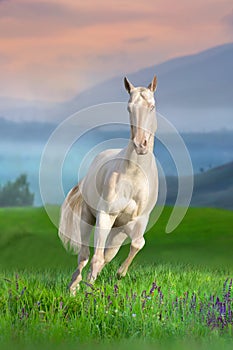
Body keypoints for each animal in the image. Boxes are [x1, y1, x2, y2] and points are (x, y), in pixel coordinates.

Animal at [59, 76, 159, 296]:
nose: (141, 144)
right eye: (129, 108)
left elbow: (137, 243)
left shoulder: (139, 220)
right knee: (85, 255)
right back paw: (74, 287)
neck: (134, 175)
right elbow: (96, 257)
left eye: (152, 106)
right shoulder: (105, 215)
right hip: (89, 218)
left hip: (118, 232)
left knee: (107, 254)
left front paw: (120, 273)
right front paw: (88, 292)